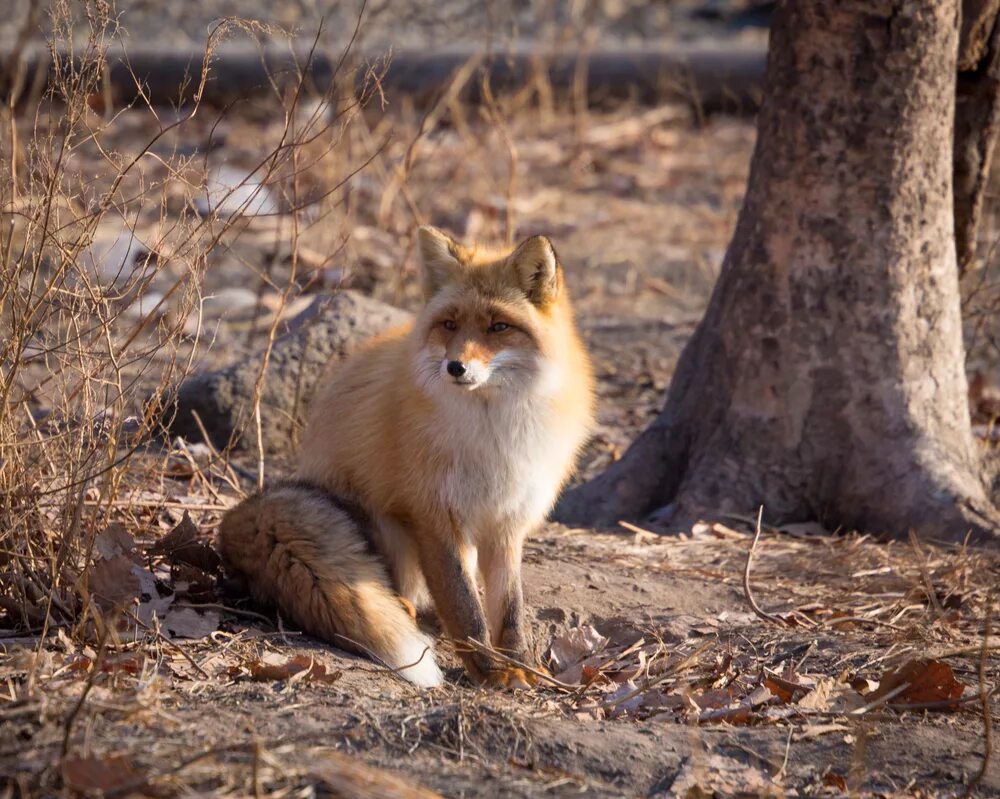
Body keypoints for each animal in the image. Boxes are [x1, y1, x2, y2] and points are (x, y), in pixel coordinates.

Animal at [219, 227, 592, 688]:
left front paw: (517, 664)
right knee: (404, 591)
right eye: (449, 324)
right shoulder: (434, 514)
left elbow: (509, 610)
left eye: (499, 327)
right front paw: (489, 670)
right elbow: (464, 606)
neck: (494, 432)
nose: (455, 367)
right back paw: (408, 611)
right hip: (384, 525)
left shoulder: (507, 521)